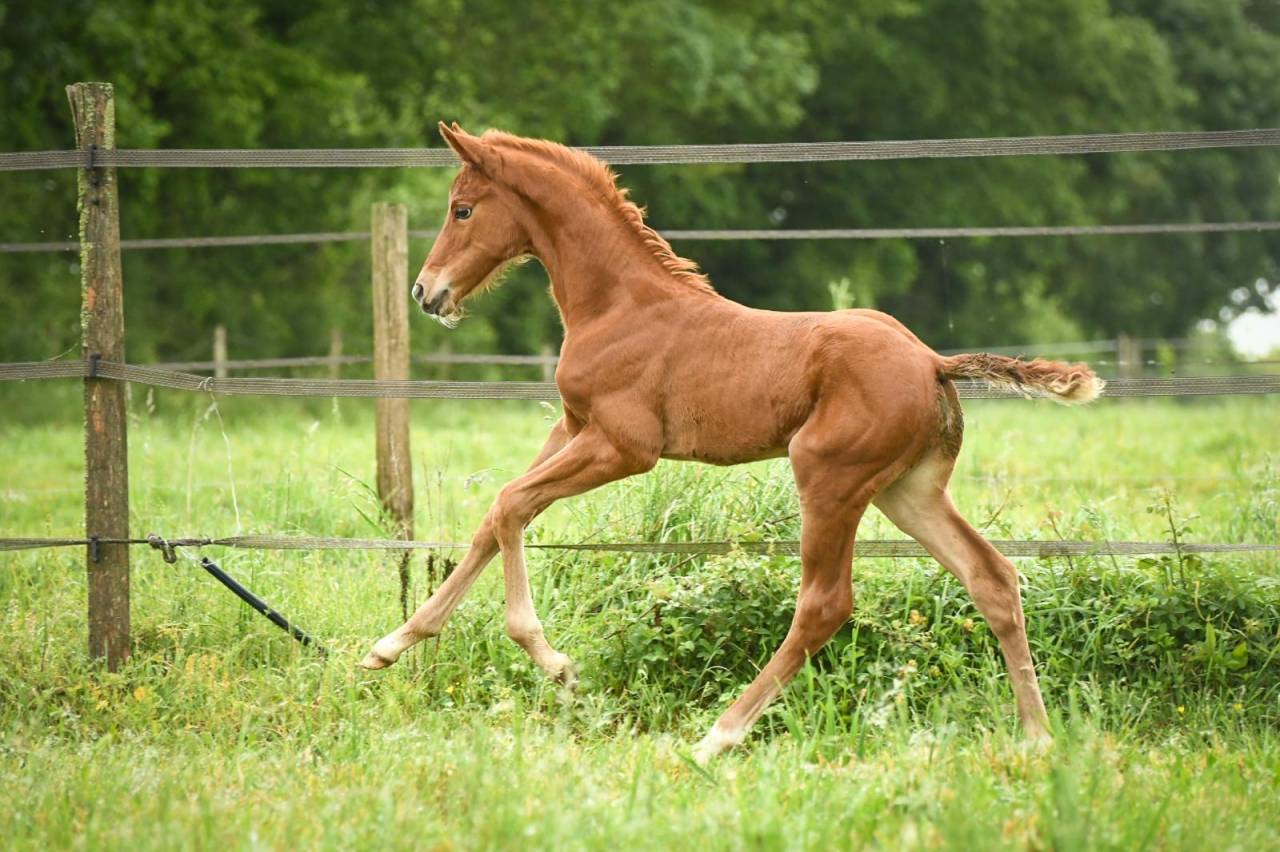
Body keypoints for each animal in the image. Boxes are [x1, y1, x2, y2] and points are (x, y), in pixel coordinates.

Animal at [360, 122, 1103, 763]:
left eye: (462, 209)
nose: (426, 291)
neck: (620, 306)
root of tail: (931, 362)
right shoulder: (570, 427)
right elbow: (493, 519)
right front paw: (390, 645)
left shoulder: (623, 446)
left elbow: (512, 506)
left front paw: (555, 663)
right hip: (907, 490)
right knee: (992, 577)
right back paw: (1037, 737)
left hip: (828, 477)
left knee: (825, 605)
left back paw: (717, 736)